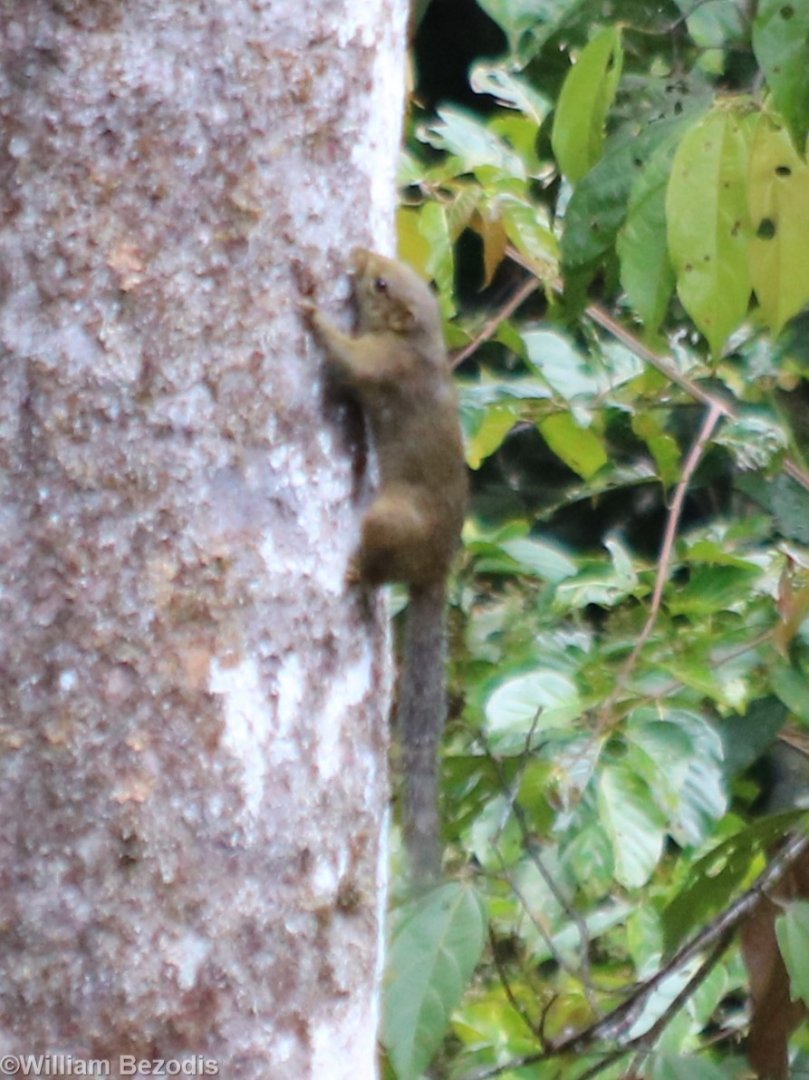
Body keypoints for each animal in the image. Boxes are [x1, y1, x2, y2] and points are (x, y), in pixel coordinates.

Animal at [303, 249, 467, 881]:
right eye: (388, 271)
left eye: (379, 284)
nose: (357, 254)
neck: (421, 341)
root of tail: (438, 565)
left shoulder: (382, 366)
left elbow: (348, 360)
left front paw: (311, 313)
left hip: (391, 519)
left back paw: (358, 574)